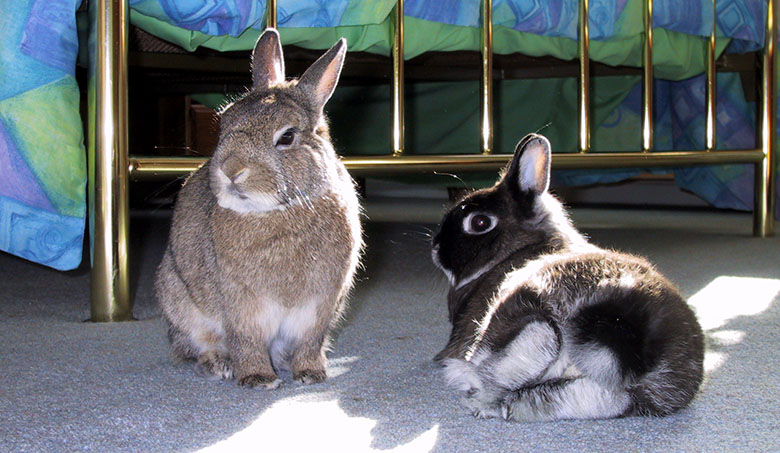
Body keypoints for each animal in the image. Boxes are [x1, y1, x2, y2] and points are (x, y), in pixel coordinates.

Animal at [155, 28, 362, 388]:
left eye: (287, 137)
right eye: (224, 122)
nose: (230, 169)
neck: (280, 211)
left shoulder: (318, 308)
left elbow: (309, 341)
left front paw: (310, 375)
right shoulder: (243, 307)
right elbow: (247, 341)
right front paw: (258, 379)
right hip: (178, 298)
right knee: (196, 346)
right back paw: (219, 364)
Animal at [430, 133, 704, 420]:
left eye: (479, 222)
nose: (436, 247)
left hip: (514, 314)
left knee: (529, 345)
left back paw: (476, 398)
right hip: (609, 396)